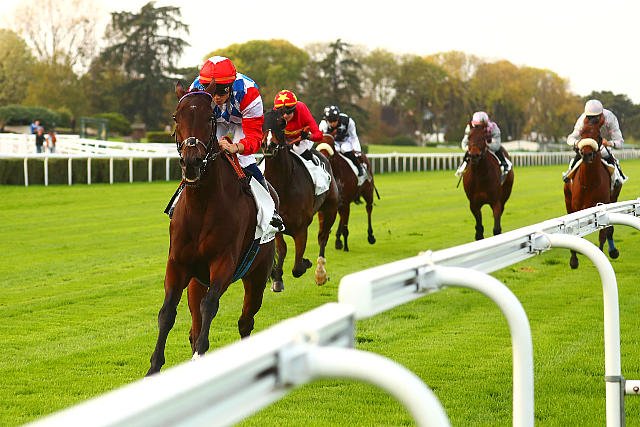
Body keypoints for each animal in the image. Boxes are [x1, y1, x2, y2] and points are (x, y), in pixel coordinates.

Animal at [146, 81, 275, 375]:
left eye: (209, 118)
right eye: (176, 116)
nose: (192, 162)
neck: (201, 207)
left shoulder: (224, 262)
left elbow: (211, 305)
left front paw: (199, 356)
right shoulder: (178, 264)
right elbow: (167, 312)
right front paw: (154, 368)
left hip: (257, 276)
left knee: (245, 321)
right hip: (196, 281)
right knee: (194, 322)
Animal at [262, 110, 339, 292]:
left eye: (281, 123)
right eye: (262, 122)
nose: (268, 145)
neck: (283, 185)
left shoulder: (302, 228)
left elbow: (297, 267)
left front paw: (306, 262)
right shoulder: (277, 226)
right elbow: (282, 249)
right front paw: (277, 278)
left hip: (330, 209)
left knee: (323, 238)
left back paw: (320, 274)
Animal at [563, 114, 622, 269]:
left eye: (597, 135)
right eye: (582, 134)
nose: (587, 154)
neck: (589, 183)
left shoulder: (602, 207)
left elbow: (602, 233)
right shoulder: (576, 206)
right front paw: (573, 260)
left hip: (614, 198)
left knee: (609, 230)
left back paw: (613, 250)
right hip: (567, 200)